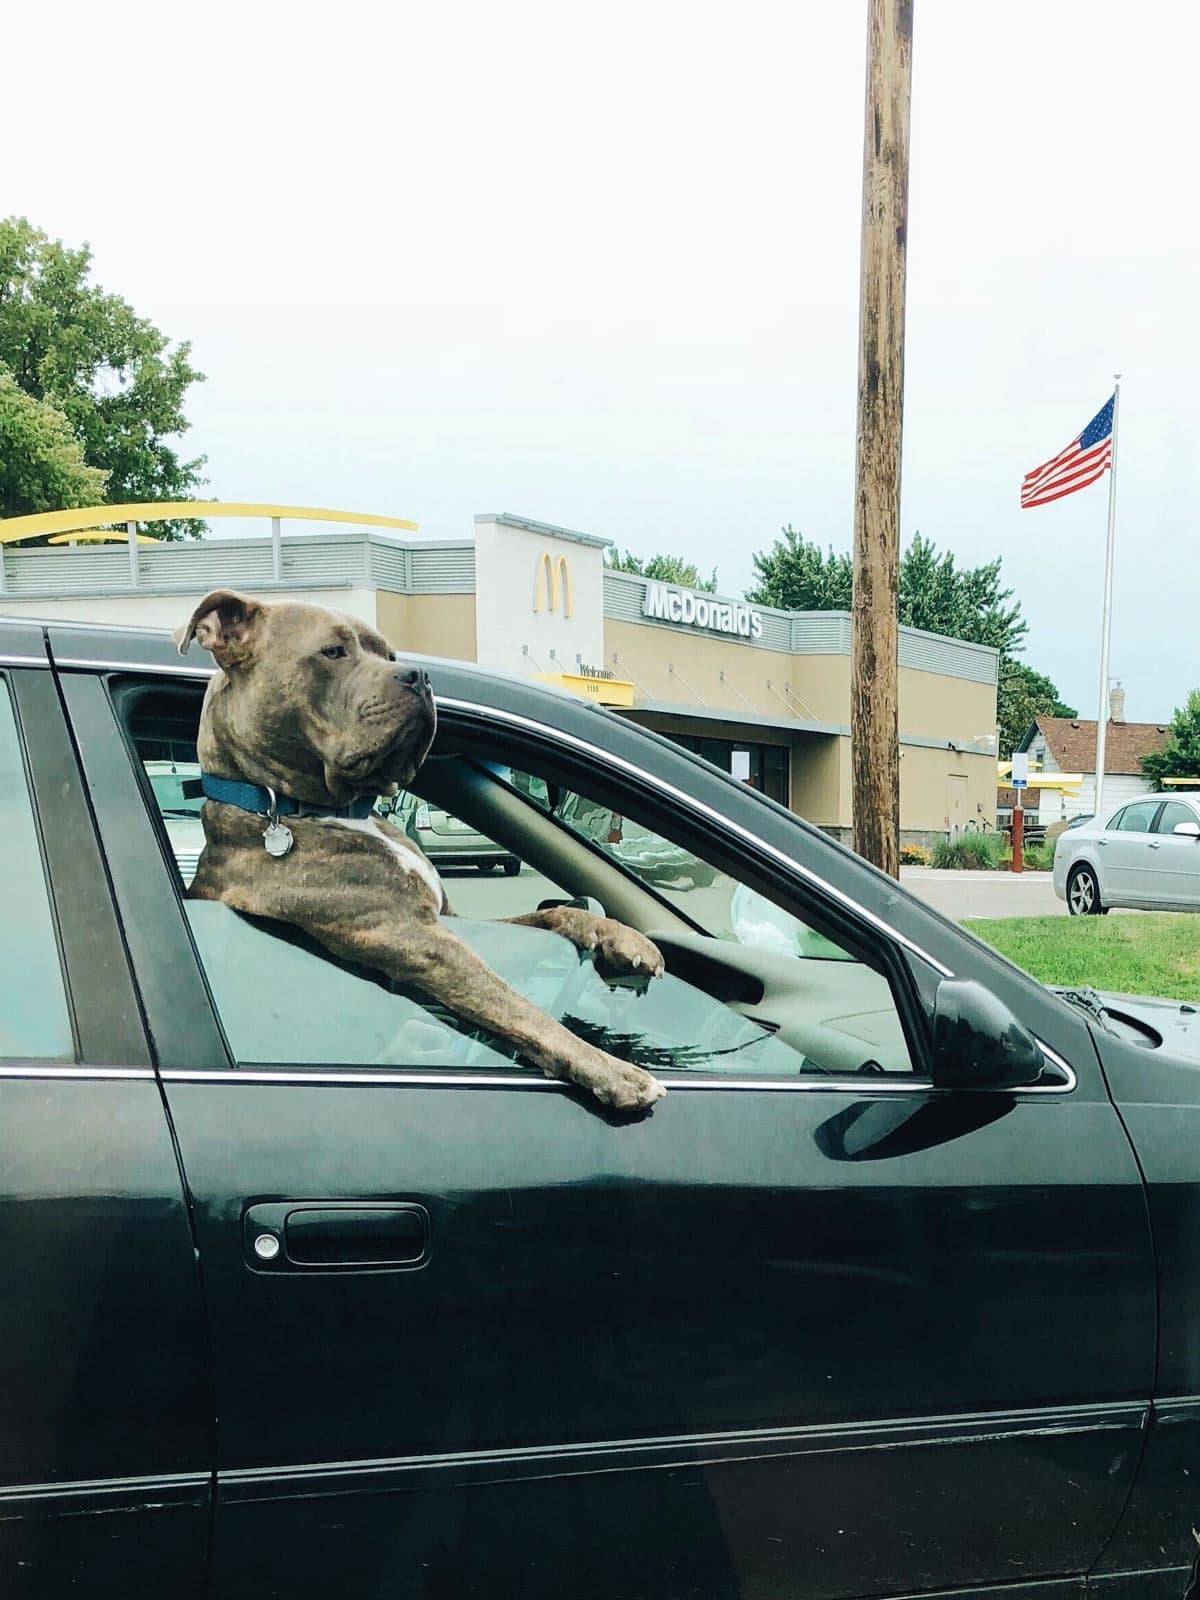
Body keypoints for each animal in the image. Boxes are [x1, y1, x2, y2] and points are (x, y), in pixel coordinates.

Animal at [175, 588, 672, 1113]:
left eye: (389, 655)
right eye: (333, 652)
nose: (418, 675)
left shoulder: (449, 917)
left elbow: (553, 914)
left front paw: (624, 939)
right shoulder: (415, 937)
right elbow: (514, 1003)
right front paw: (612, 1070)